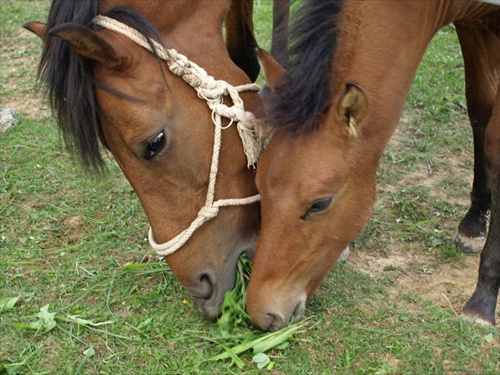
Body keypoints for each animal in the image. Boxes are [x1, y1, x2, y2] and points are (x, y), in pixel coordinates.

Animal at [247, 0, 500, 330]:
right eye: (259, 185)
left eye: (320, 203)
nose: (261, 313)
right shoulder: (473, 24)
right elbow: (479, 112)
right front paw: (473, 222)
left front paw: (483, 299)